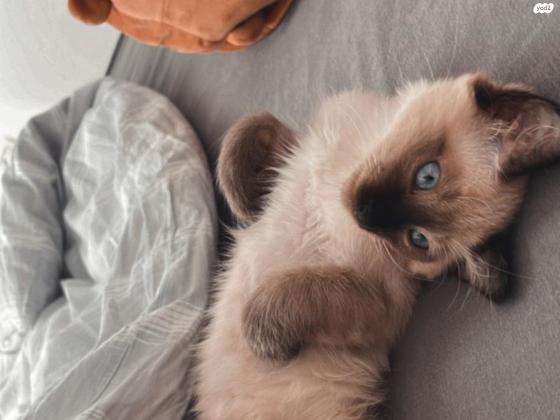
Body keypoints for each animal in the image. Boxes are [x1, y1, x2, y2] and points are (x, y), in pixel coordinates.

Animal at [194, 72, 560, 419]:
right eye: (428, 176)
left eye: (417, 238)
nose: (365, 214)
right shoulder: (302, 151)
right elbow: (251, 125)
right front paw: (248, 204)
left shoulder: (380, 304)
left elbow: (301, 291)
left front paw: (261, 339)